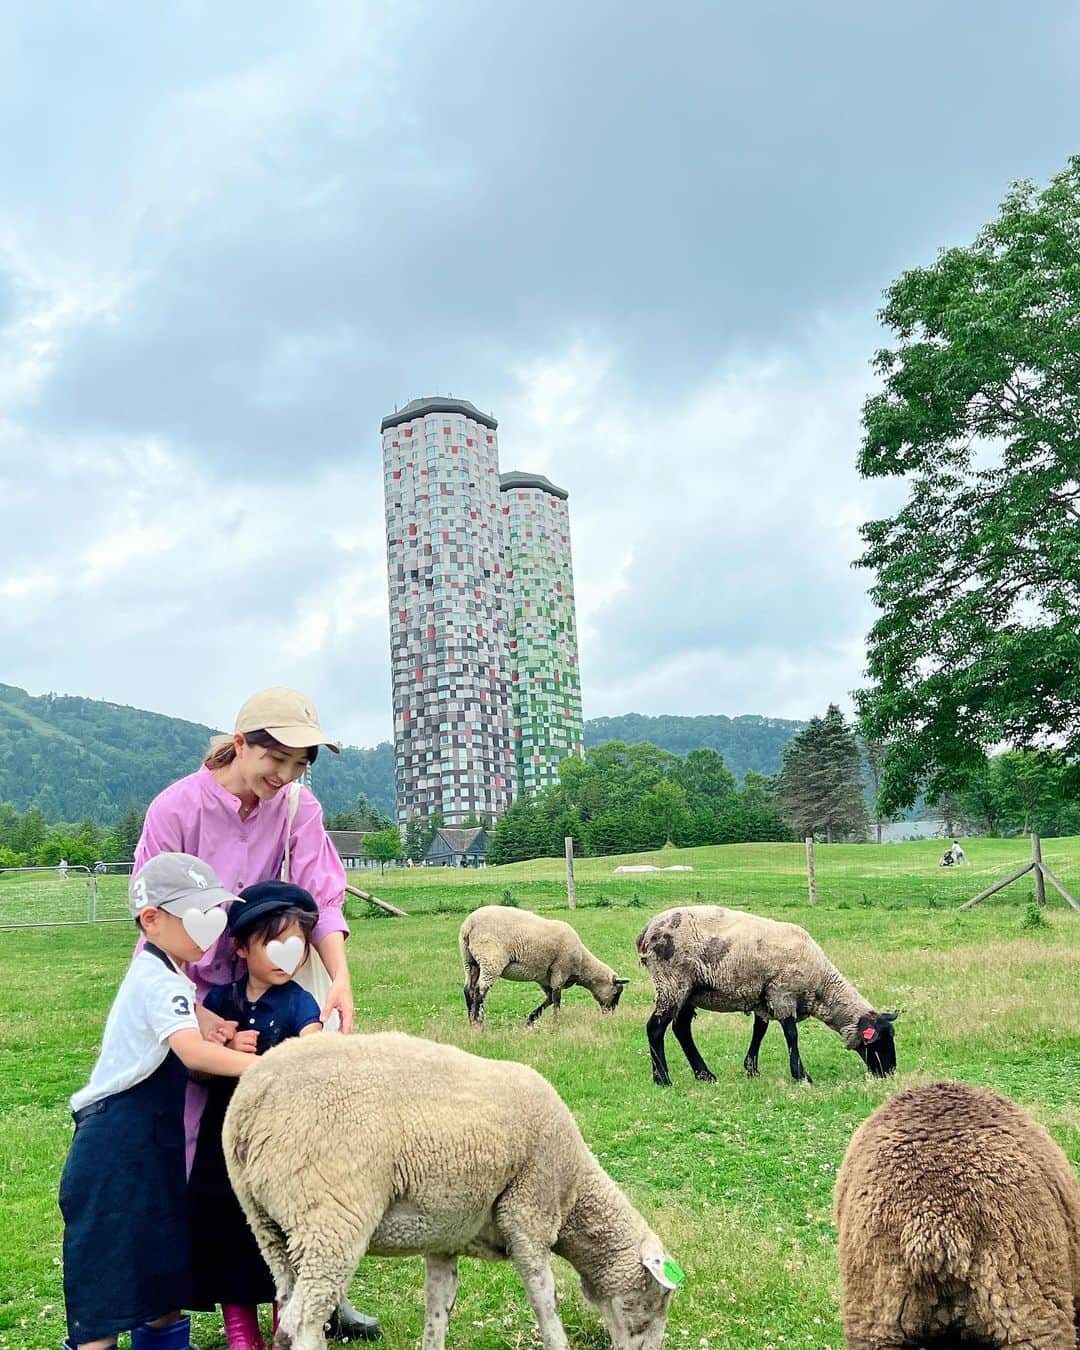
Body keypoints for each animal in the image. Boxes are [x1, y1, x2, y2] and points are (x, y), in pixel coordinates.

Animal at [225, 1031, 683, 1350]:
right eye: (659, 1297)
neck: (574, 1192)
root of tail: (251, 1100)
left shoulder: (444, 1237)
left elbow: (438, 1308)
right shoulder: (527, 1216)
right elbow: (544, 1300)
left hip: (268, 1224)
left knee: (287, 1308)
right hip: (329, 1216)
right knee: (303, 1323)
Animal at [459, 907, 629, 1020]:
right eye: (617, 992)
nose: (611, 1013)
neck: (582, 964)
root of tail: (469, 926)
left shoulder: (544, 978)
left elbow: (550, 999)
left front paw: (531, 1019)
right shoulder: (559, 971)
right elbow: (557, 999)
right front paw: (556, 1022)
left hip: (470, 961)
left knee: (468, 990)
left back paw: (471, 1021)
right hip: (491, 960)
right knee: (480, 991)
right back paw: (479, 1023)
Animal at [637, 907, 896, 1085]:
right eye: (879, 1041)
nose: (890, 1072)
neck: (822, 983)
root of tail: (645, 932)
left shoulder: (764, 997)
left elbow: (759, 1031)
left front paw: (751, 1069)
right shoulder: (783, 993)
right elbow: (791, 1034)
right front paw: (801, 1075)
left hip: (689, 991)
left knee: (681, 1029)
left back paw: (704, 1074)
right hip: (672, 982)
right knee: (655, 1028)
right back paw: (663, 1079)